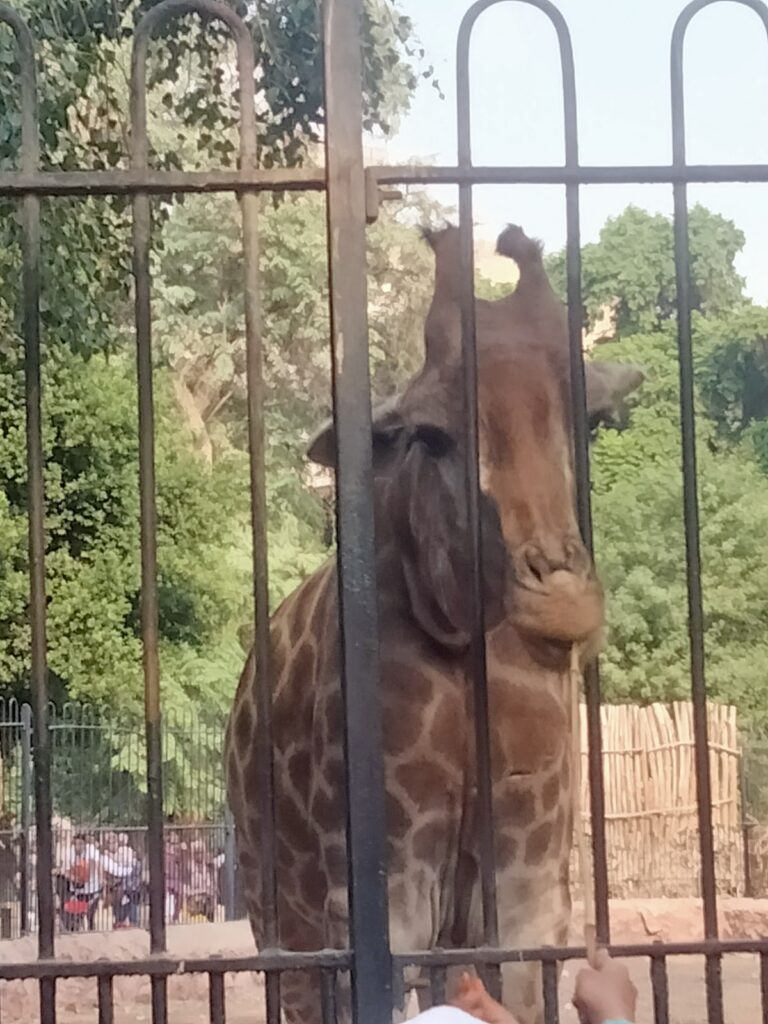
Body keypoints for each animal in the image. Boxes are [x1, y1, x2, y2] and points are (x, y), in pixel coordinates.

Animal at [226, 223, 643, 1024]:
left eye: (591, 421)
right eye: (432, 435)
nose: (561, 604)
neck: (454, 628)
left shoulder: (531, 869)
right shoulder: (380, 882)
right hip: (277, 907)